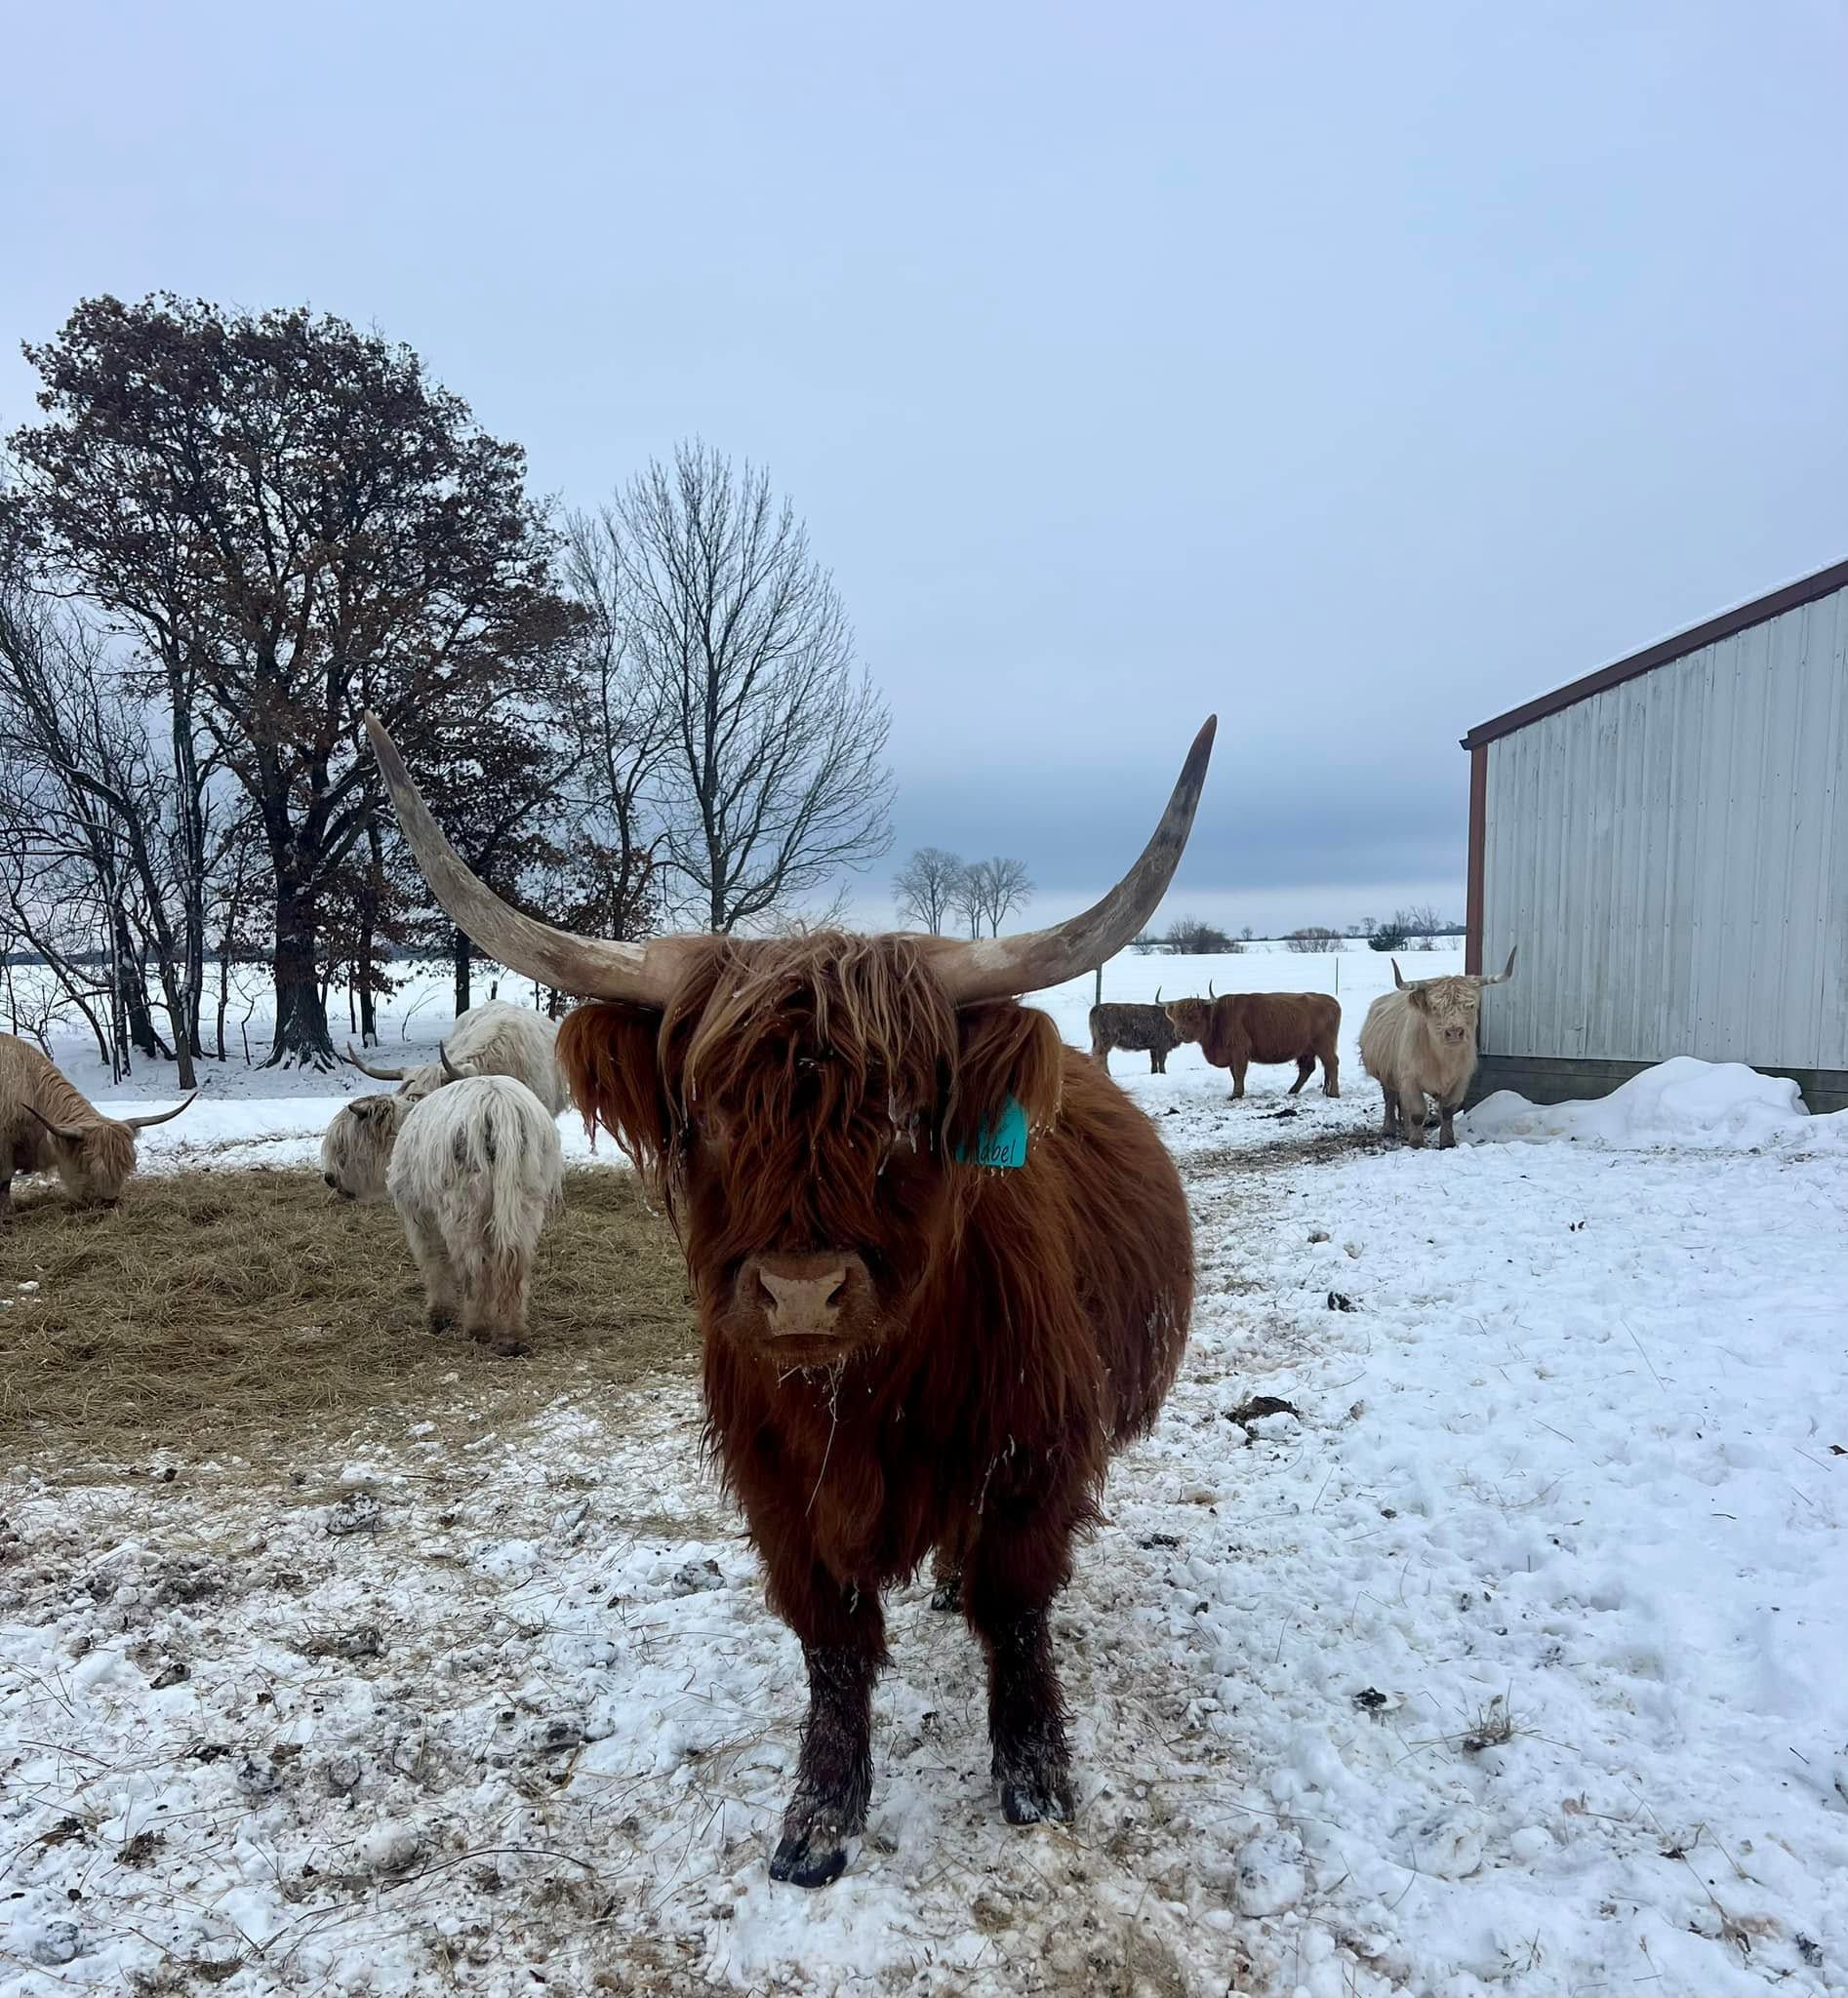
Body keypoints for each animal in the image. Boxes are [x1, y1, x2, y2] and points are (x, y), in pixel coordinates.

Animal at [1, 1033, 195, 1217]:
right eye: (91, 1166)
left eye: (123, 1167)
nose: (109, 1202)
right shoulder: (5, 1152)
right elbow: (5, 1183)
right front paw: (8, 1211)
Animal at [386, 1075, 564, 1357]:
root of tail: (498, 1103)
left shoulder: (419, 1216)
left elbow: (434, 1263)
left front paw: (439, 1315)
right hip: (525, 1201)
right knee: (515, 1265)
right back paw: (511, 1335)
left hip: (463, 1207)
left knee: (474, 1267)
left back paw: (477, 1328)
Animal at [1163, 986, 1341, 1099]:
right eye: (1175, 1017)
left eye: (1193, 1016)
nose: (1178, 1033)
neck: (1218, 1018)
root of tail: (1330, 1000)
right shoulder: (1232, 1056)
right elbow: (1234, 1074)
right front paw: (1237, 1091)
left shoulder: (1239, 1051)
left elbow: (1239, 1072)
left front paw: (1236, 1094)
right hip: (1306, 1049)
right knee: (1307, 1069)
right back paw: (1292, 1091)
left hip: (1324, 1045)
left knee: (1331, 1064)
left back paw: (1333, 1093)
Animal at [1358, 949, 1517, 1149]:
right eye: (1435, 1006)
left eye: (1470, 1005)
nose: (1454, 1032)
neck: (1443, 1060)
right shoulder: (1410, 1078)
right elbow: (1417, 1112)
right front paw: (1417, 1142)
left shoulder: (1460, 1079)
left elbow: (1447, 1110)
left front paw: (1447, 1142)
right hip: (1387, 1074)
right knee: (1391, 1098)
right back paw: (1389, 1130)